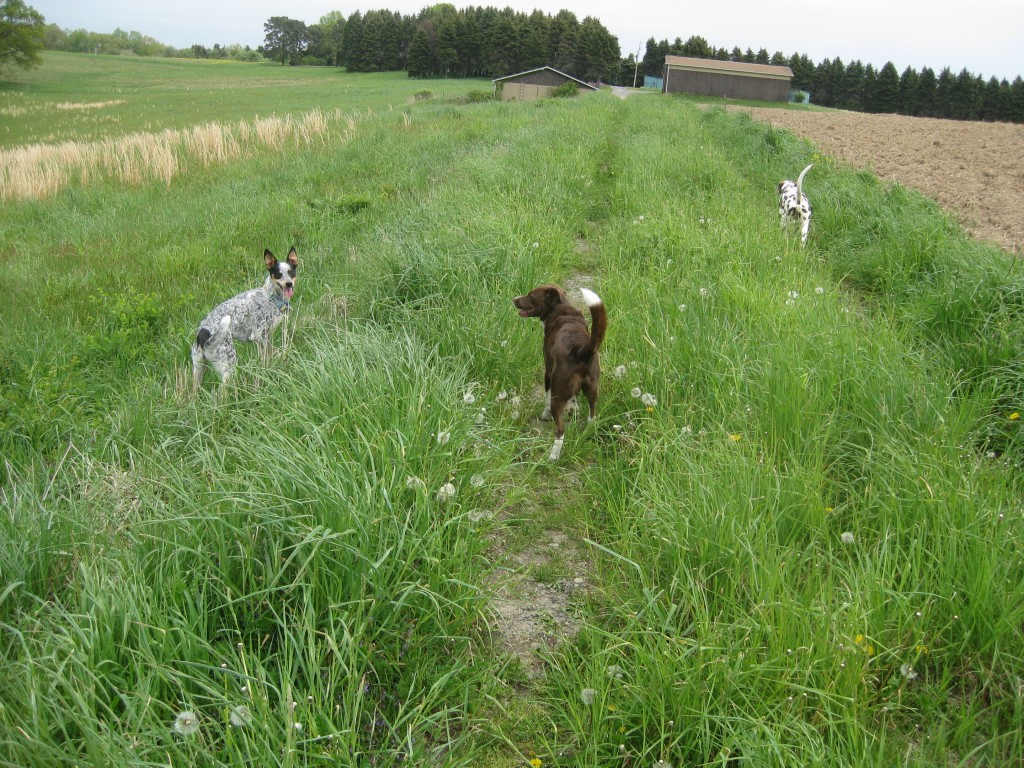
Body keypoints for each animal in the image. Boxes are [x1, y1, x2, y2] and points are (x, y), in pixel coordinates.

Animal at [192, 247, 299, 391]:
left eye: (291, 272)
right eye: (278, 274)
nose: (289, 283)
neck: (269, 297)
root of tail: (202, 334)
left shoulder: (263, 340)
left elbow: (266, 358)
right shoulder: (258, 336)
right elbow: (273, 352)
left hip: (198, 370)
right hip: (229, 367)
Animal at [516, 286, 602, 460]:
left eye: (530, 296)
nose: (514, 299)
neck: (561, 311)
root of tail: (580, 350)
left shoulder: (548, 372)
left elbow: (546, 398)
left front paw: (545, 415)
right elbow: (574, 398)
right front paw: (572, 409)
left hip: (557, 390)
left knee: (560, 430)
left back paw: (553, 456)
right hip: (592, 388)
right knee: (592, 416)